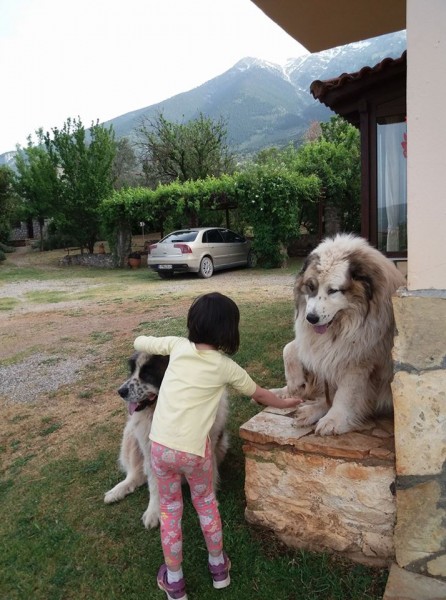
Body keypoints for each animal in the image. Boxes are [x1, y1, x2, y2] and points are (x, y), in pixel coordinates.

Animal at [104, 351, 229, 528]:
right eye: (132, 370)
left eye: (148, 374)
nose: (120, 391)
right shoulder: (151, 451)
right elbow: (154, 484)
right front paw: (154, 512)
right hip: (131, 434)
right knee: (136, 475)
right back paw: (117, 491)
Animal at [272, 234, 405, 435]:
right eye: (311, 287)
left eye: (333, 290)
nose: (311, 318)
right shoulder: (321, 345)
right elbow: (290, 347)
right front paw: (294, 382)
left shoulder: (358, 360)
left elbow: (346, 394)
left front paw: (334, 420)